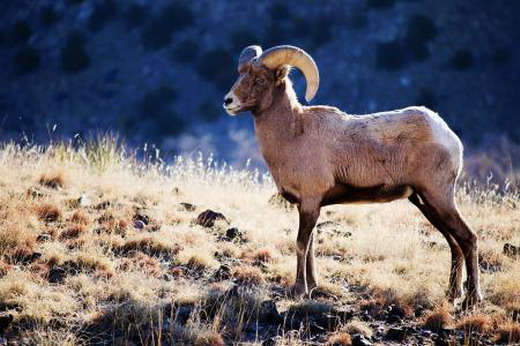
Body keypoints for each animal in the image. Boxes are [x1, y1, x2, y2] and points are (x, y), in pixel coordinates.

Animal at [223, 44, 484, 306]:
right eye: (239, 74)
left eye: (259, 79)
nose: (228, 101)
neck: (294, 133)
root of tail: (448, 137)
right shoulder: (306, 205)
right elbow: (310, 245)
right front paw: (313, 286)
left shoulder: (310, 202)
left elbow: (300, 244)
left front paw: (298, 290)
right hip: (424, 201)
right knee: (454, 242)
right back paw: (452, 294)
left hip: (438, 197)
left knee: (468, 238)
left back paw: (472, 299)